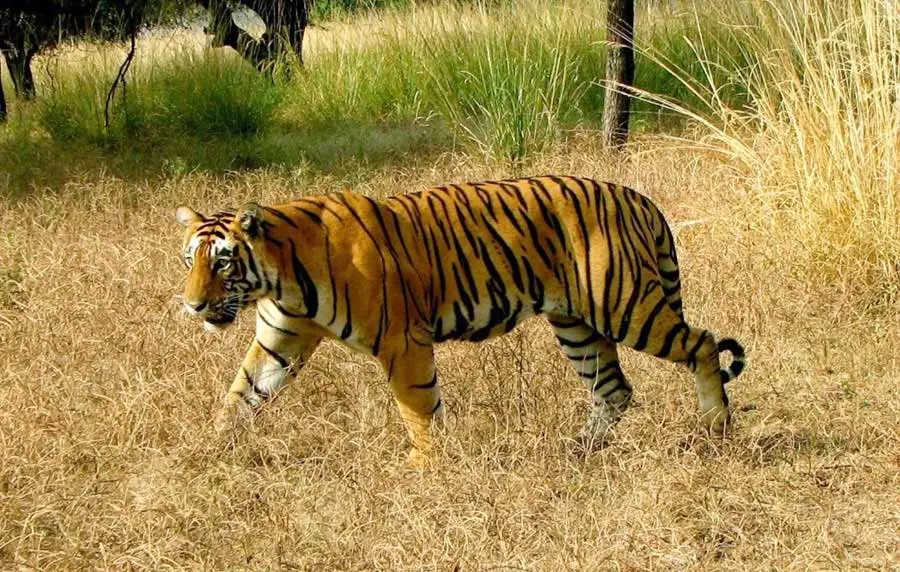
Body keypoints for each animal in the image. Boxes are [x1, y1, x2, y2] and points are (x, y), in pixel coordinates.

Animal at [175, 175, 746, 466]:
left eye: (223, 262)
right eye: (189, 261)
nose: (194, 306)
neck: (282, 278)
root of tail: (639, 197)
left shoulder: (403, 342)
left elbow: (419, 409)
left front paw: (425, 470)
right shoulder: (281, 341)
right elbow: (239, 397)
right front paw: (205, 452)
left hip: (625, 305)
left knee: (702, 344)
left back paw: (716, 427)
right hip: (576, 324)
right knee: (615, 390)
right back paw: (578, 451)